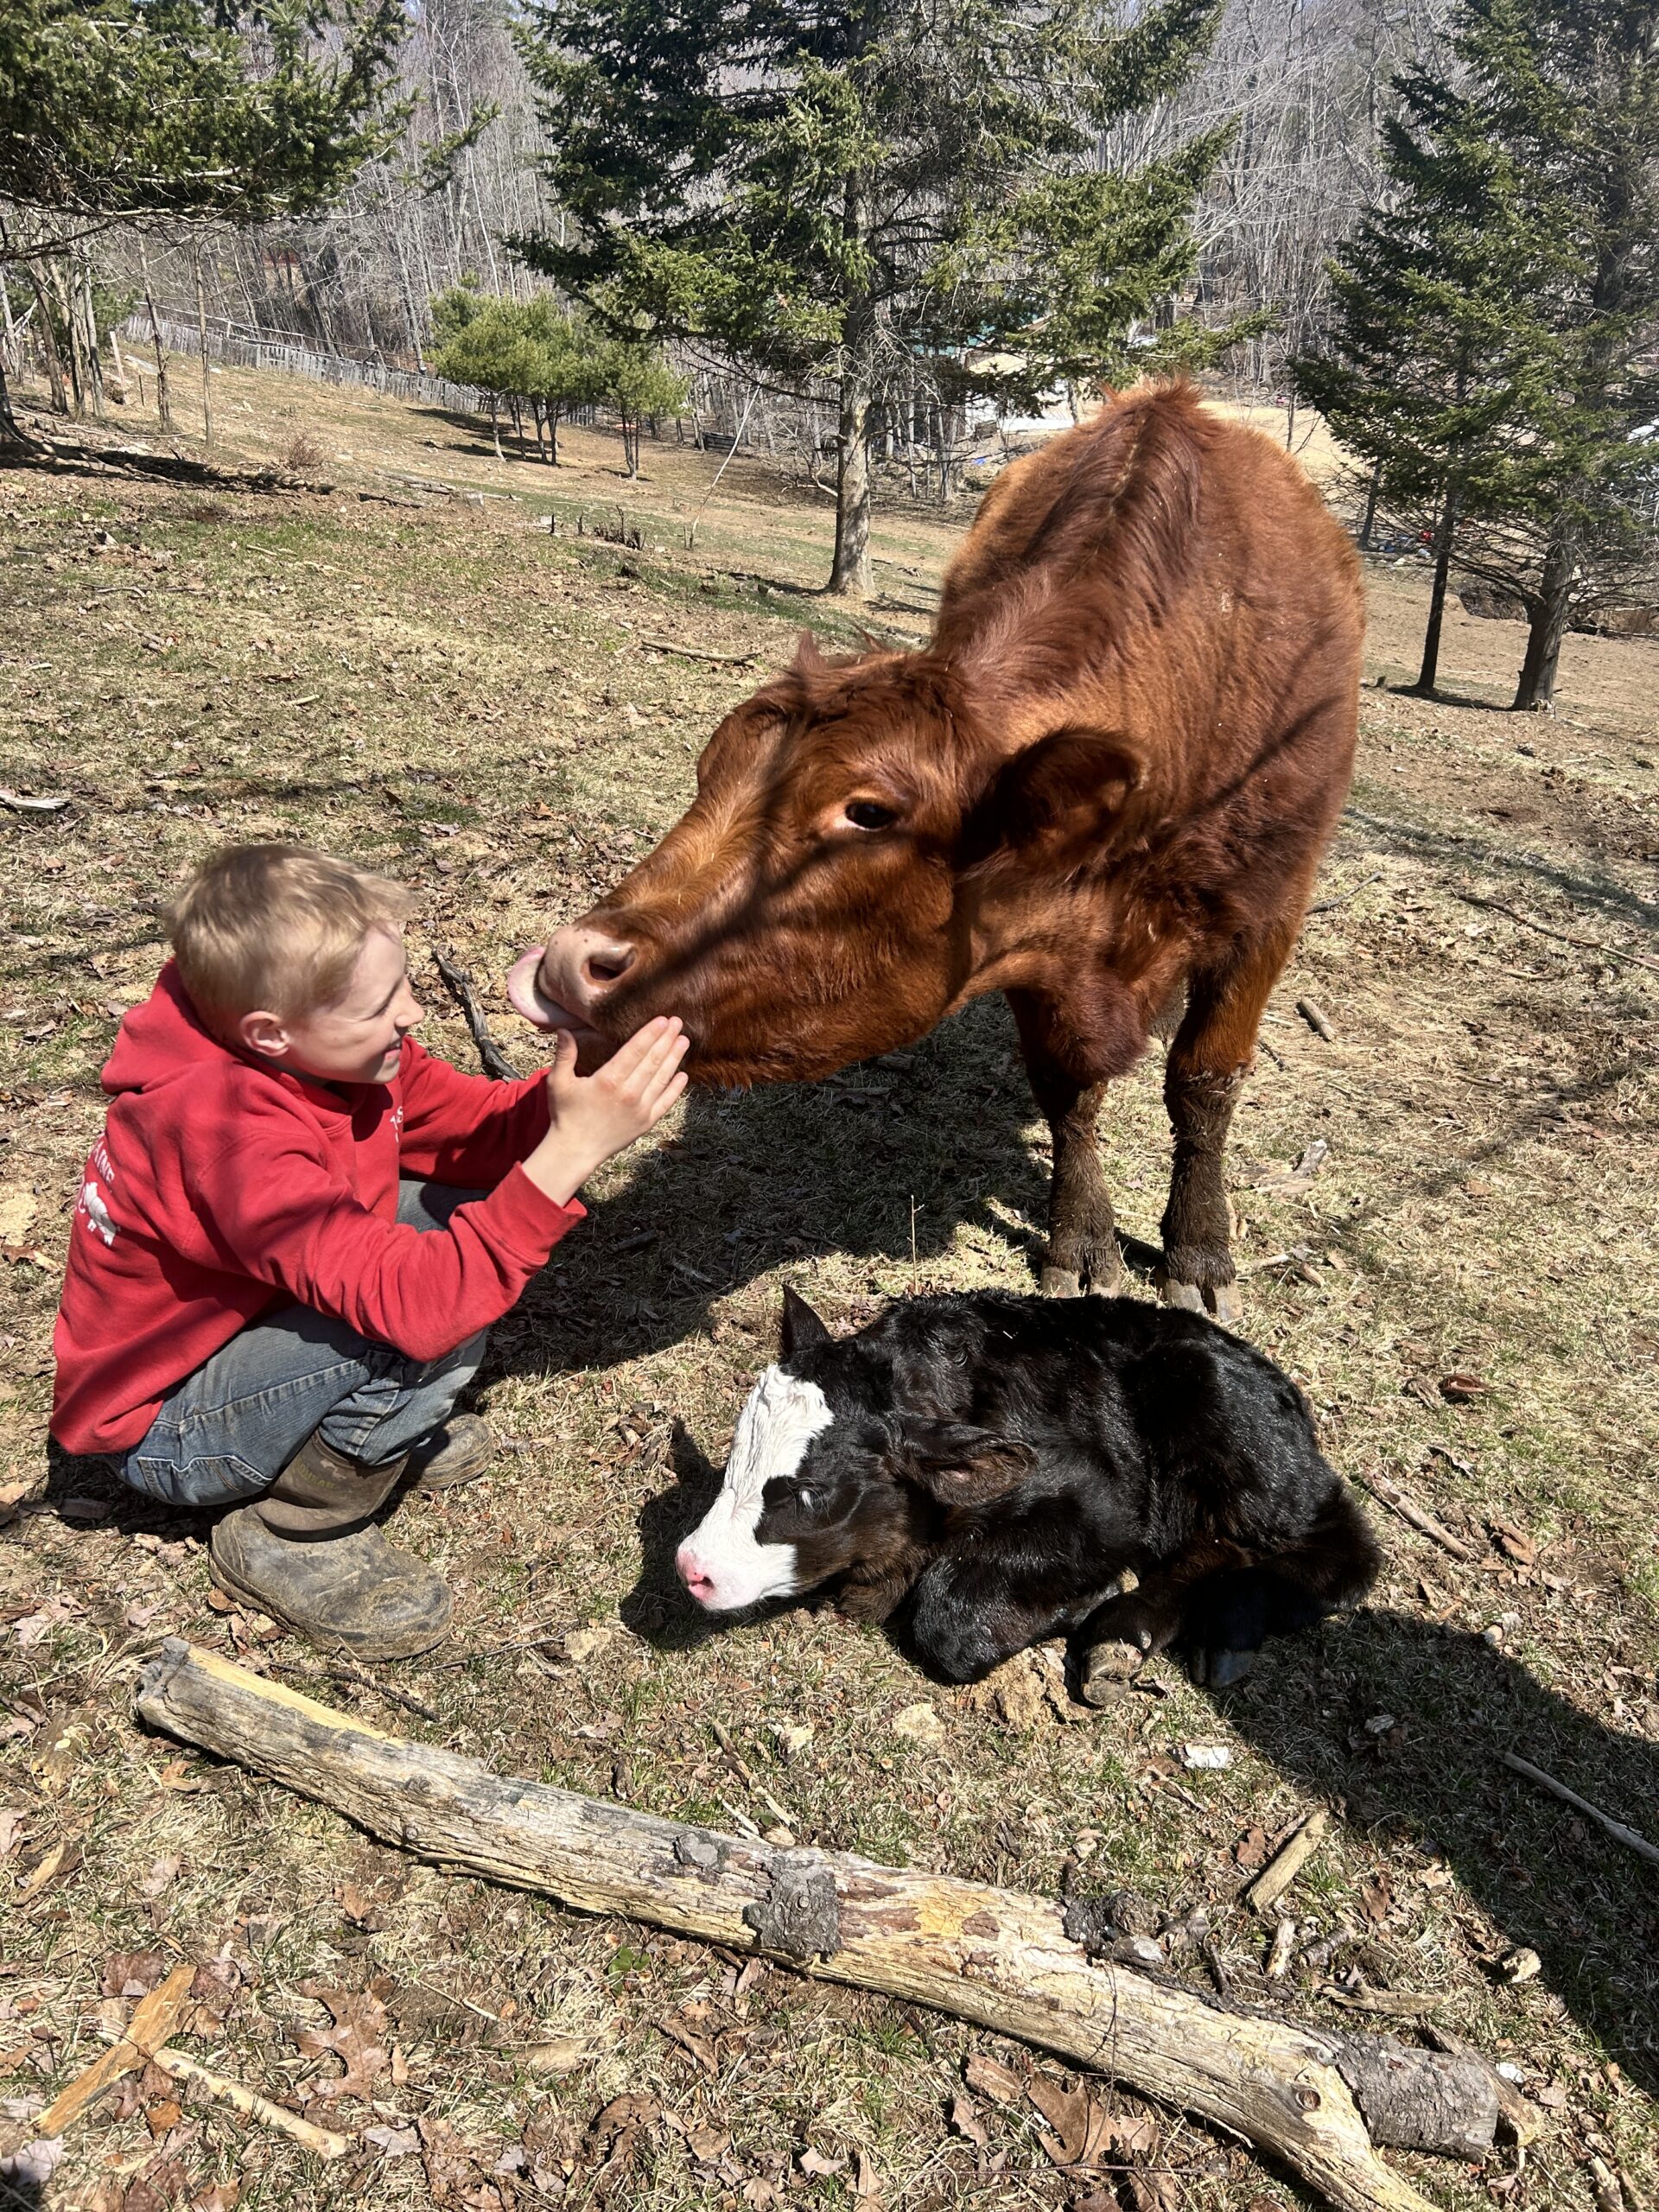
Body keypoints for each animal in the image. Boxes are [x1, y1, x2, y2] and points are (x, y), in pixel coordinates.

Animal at [508, 381, 1365, 1317]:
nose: (568, 963)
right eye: (708, 772)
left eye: (868, 811)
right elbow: (1068, 1087)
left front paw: (1200, 1253)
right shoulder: (1027, 933)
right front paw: (1081, 1239)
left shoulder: (1267, 910)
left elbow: (1204, 1082)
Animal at [674, 1287, 1381, 1697]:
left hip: (1229, 1421)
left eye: (812, 1493)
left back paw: (1211, 1627)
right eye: (733, 1462)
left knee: (1340, 1550)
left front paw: (1095, 1595)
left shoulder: (1103, 1503)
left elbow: (949, 1619)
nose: (691, 1567)